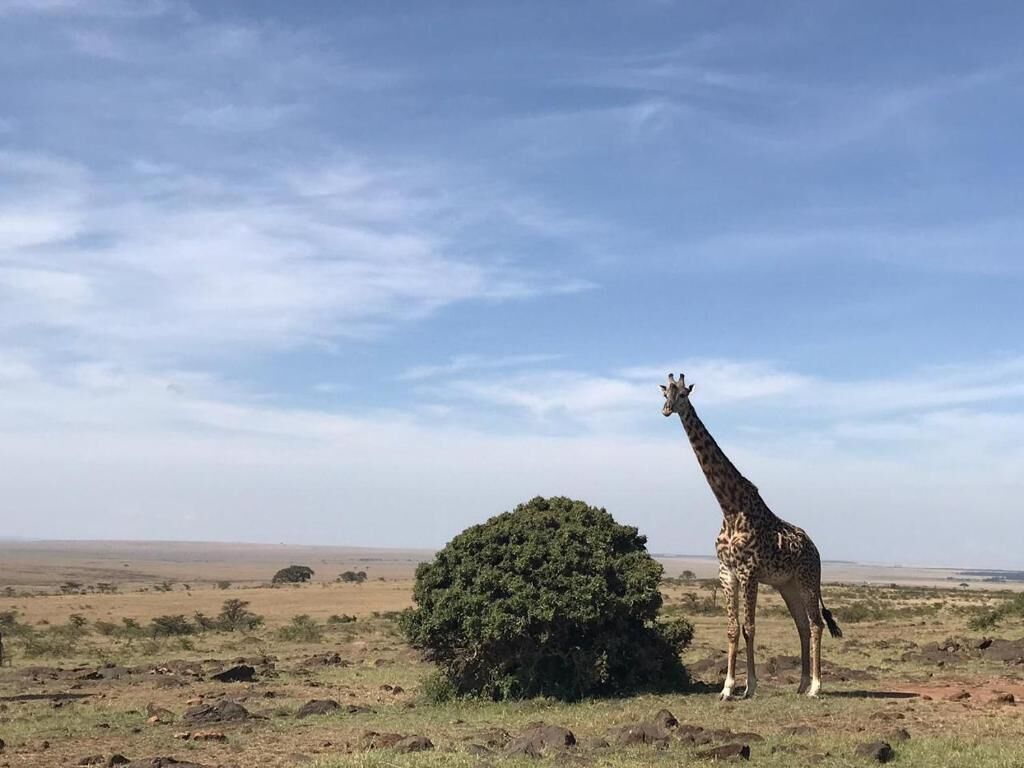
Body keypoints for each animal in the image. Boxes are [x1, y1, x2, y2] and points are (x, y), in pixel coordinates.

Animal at [661, 373, 842, 699]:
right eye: (663, 392)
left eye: (683, 394)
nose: (667, 410)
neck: (730, 508)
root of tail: (816, 549)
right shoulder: (726, 572)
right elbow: (733, 628)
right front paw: (727, 688)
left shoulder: (749, 573)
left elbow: (750, 628)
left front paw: (749, 686)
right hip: (787, 585)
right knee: (801, 625)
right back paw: (801, 684)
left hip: (808, 580)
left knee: (816, 624)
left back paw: (815, 687)